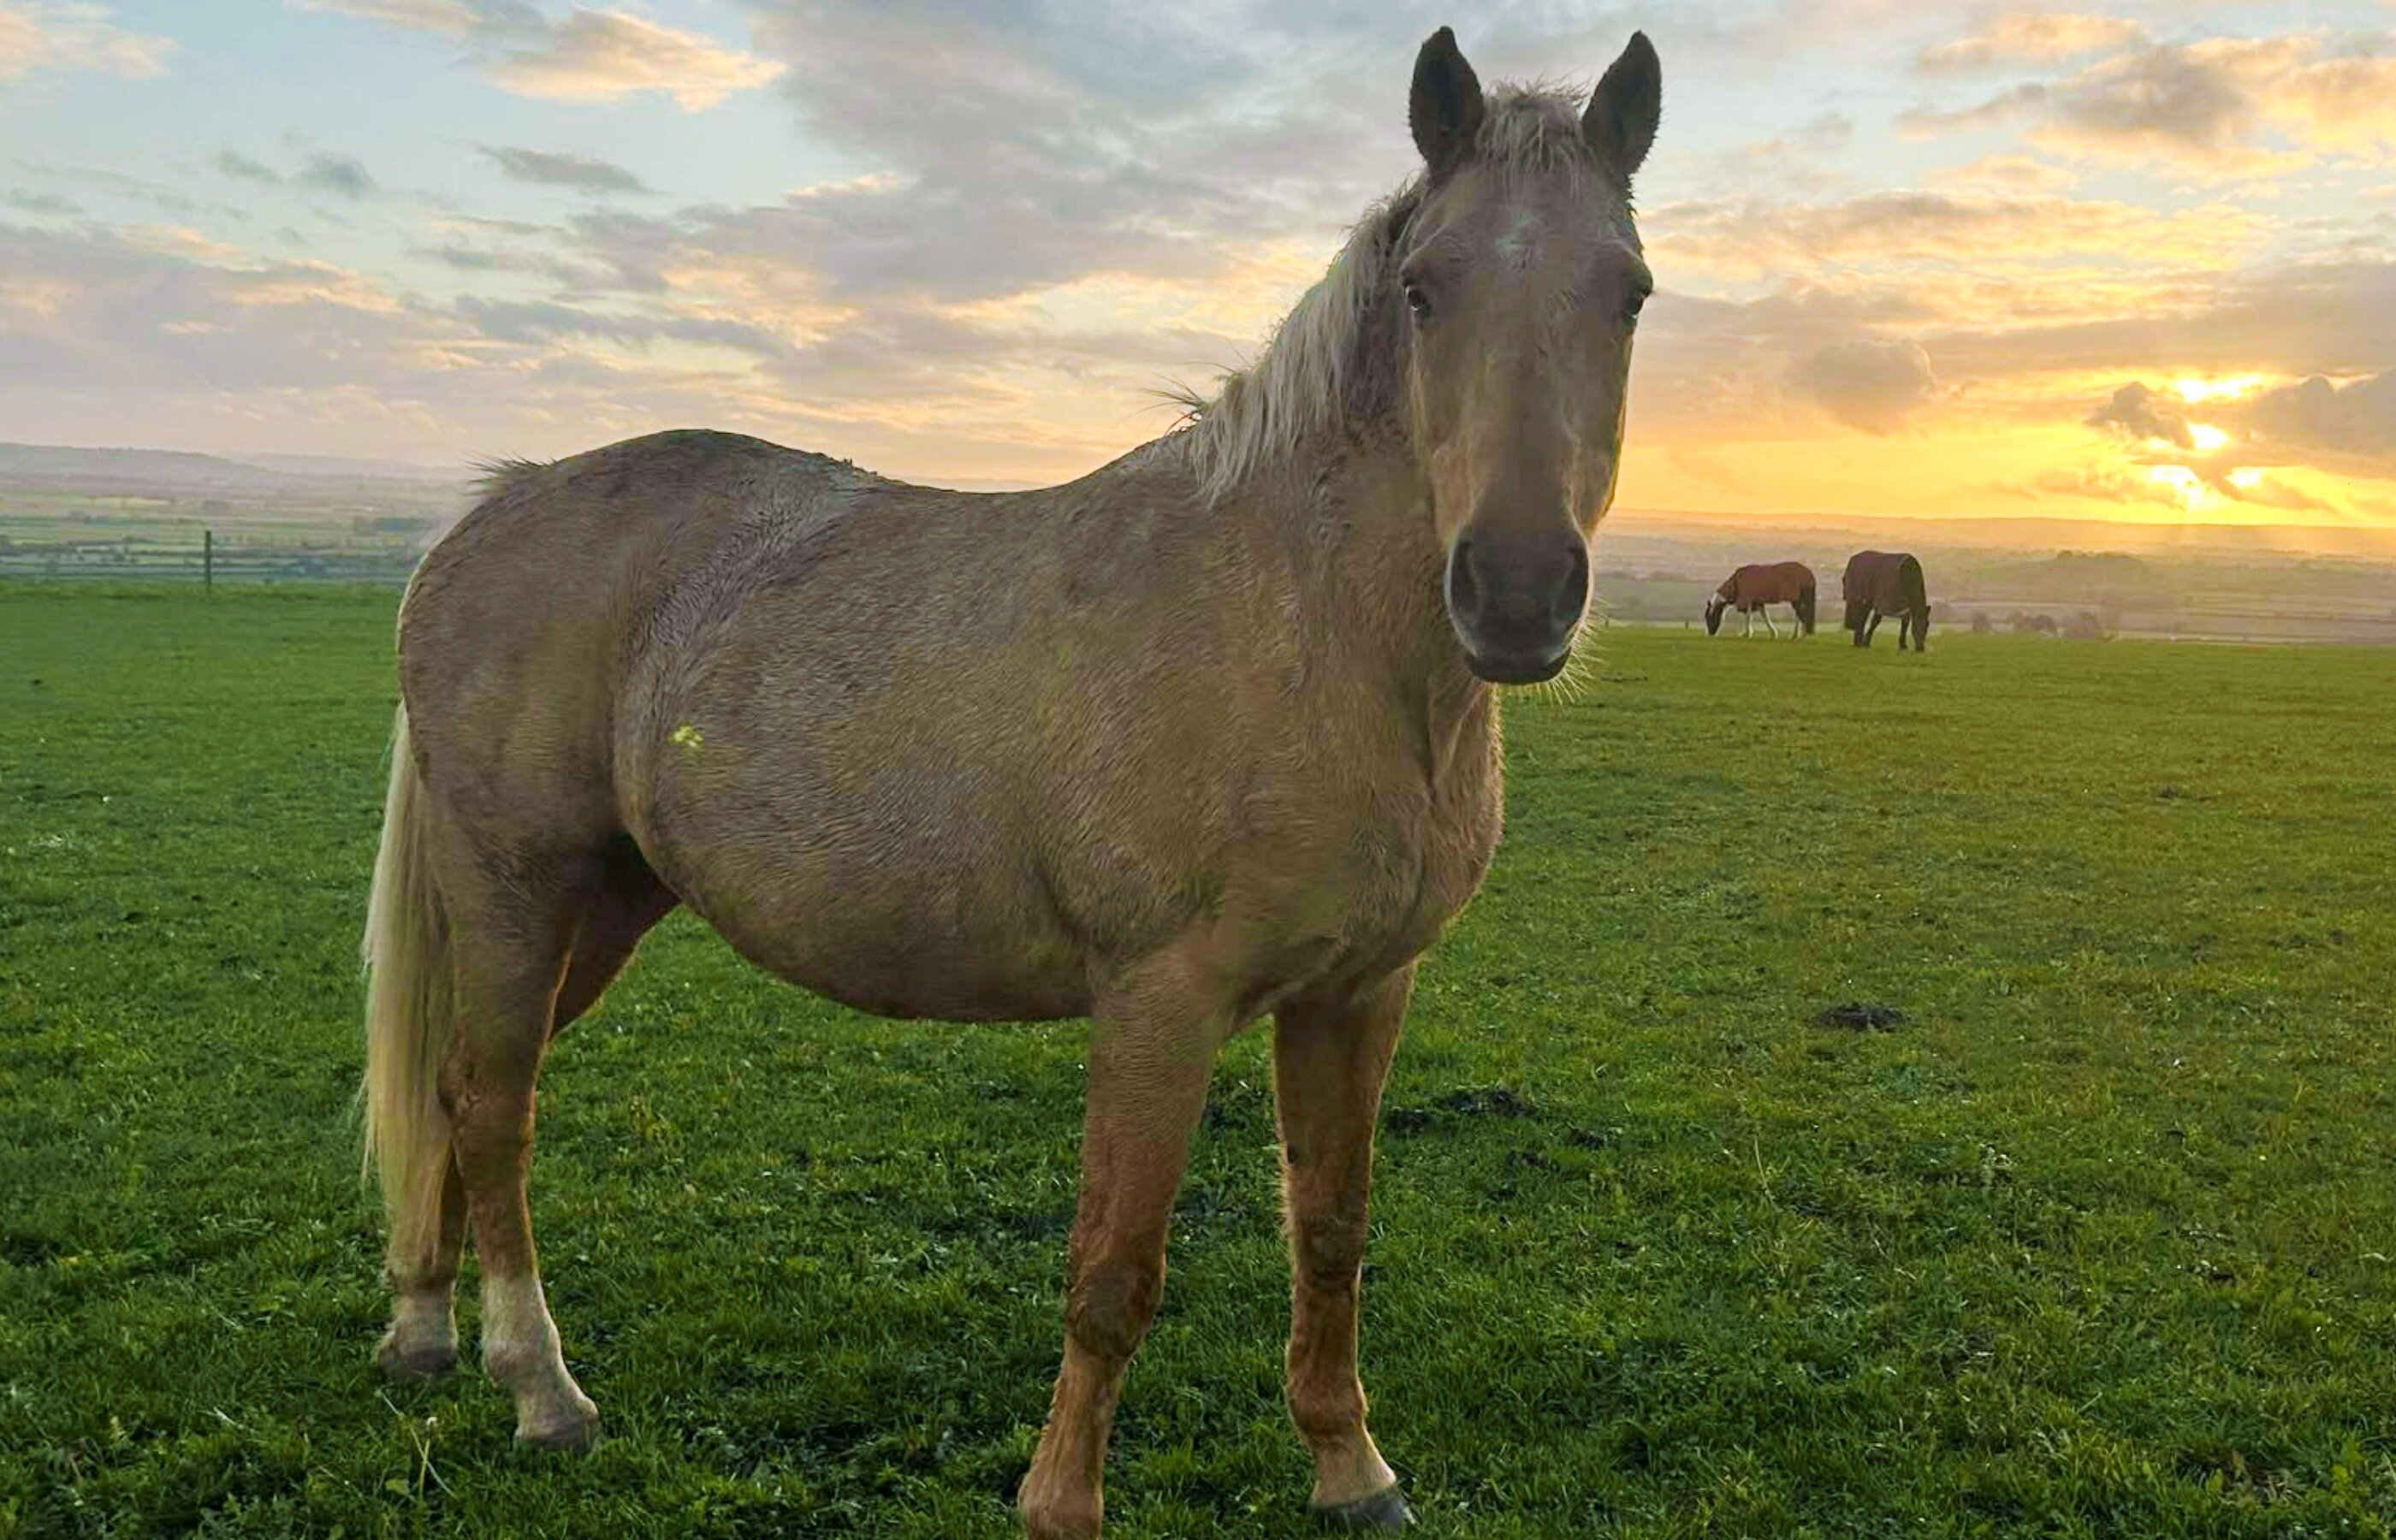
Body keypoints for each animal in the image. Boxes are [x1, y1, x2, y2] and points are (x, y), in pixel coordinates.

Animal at [358, 27, 1662, 1538]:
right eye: (1424, 288)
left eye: (1628, 293)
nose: (1515, 593)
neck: (1311, 630)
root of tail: (486, 514)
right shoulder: (1160, 1002)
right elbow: (1115, 1274)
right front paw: (1060, 1501)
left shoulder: (1358, 993)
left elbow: (1331, 1231)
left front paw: (1351, 1470)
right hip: (517, 892)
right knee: (494, 1108)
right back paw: (540, 1388)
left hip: (607, 906)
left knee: (453, 1095)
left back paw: (424, 1331)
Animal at [1704, 561, 1815, 639]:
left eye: (1709, 617)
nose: (1710, 633)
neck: (1737, 582)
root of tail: (1808, 573)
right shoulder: (1758, 603)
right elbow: (1765, 617)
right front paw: (1773, 633)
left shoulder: (1747, 601)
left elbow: (1748, 617)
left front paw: (1746, 634)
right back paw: (1800, 634)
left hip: (1795, 600)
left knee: (1800, 613)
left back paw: (1796, 635)